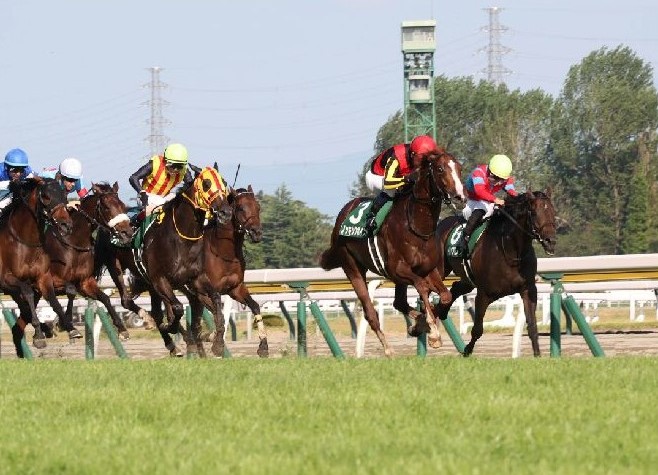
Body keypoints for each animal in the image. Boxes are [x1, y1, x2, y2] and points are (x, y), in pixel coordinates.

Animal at [0, 177, 74, 354]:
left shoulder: (42, 277)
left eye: (64, 196)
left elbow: (55, 300)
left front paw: (70, 328)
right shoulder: (5, 279)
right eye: (46, 196)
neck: (25, 242)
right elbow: (27, 293)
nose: (66, 225)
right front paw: (39, 335)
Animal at [94, 167, 233, 357]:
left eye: (224, 182)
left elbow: (216, 301)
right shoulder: (160, 279)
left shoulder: (196, 279)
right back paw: (151, 324)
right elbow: (178, 309)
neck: (181, 238)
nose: (226, 212)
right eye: (206, 183)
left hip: (152, 283)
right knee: (127, 301)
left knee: (158, 311)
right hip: (117, 267)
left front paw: (217, 343)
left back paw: (175, 343)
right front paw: (173, 328)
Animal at [319, 148, 465, 356]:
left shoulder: (429, 270)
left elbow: (445, 295)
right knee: (370, 312)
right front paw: (433, 331)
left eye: (460, 168)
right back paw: (388, 349)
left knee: (399, 303)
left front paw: (421, 325)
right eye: (439, 169)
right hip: (352, 266)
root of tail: (343, 214)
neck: (416, 225)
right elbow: (421, 286)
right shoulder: (397, 270)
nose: (460, 196)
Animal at [430, 189, 557, 356]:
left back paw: (440, 311)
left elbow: (532, 325)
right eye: (534, 212)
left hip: (468, 279)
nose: (550, 241)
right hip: (440, 269)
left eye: (553, 212)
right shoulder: (484, 293)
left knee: (456, 287)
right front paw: (466, 351)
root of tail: (441, 223)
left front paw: (537, 355)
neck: (510, 251)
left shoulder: (528, 289)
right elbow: (477, 329)